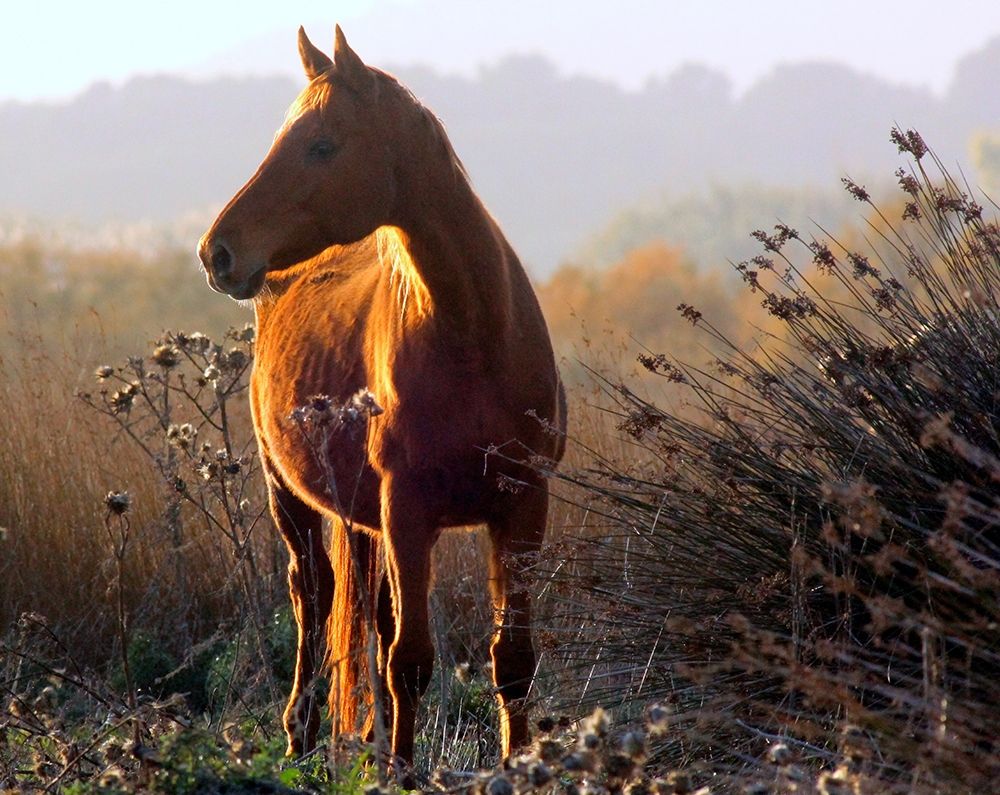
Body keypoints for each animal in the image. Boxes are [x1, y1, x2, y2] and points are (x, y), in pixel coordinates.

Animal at [197, 25, 566, 771]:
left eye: (321, 145)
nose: (217, 252)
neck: (473, 335)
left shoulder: (521, 506)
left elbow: (511, 659)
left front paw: (515, 764)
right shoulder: (409, 511)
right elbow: (409, 661)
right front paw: (403, 773)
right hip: (294, 500)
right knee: (314, 598)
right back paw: (302, 732)